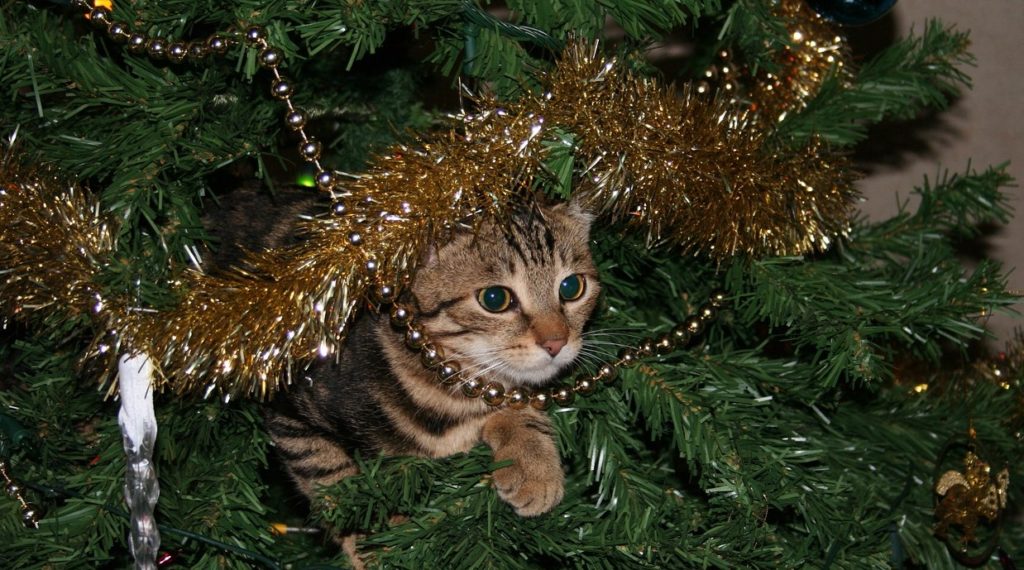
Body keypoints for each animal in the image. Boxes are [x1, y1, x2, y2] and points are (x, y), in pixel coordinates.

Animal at [246, 193, 598, 517]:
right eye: (494, 298)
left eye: (571, 287)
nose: (556, 342)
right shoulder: (289, 409)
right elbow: (334, 484)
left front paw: (534, 464)